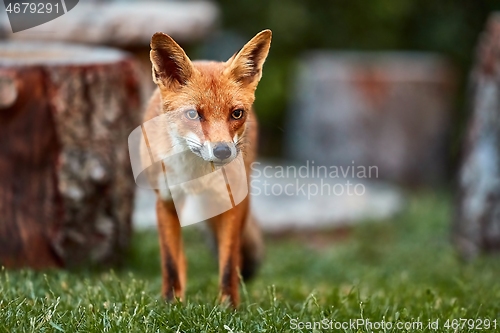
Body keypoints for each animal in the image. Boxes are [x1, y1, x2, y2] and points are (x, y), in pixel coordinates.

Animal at [141, 29, 272, 304]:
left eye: (236, 114)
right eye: (193, 114)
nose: (223, 151)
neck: (196, 174)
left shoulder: (233, 202)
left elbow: (229, 263)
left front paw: (229, 306)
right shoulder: (165, 201)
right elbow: (170, 262)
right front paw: (171, 303)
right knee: (181, 259)